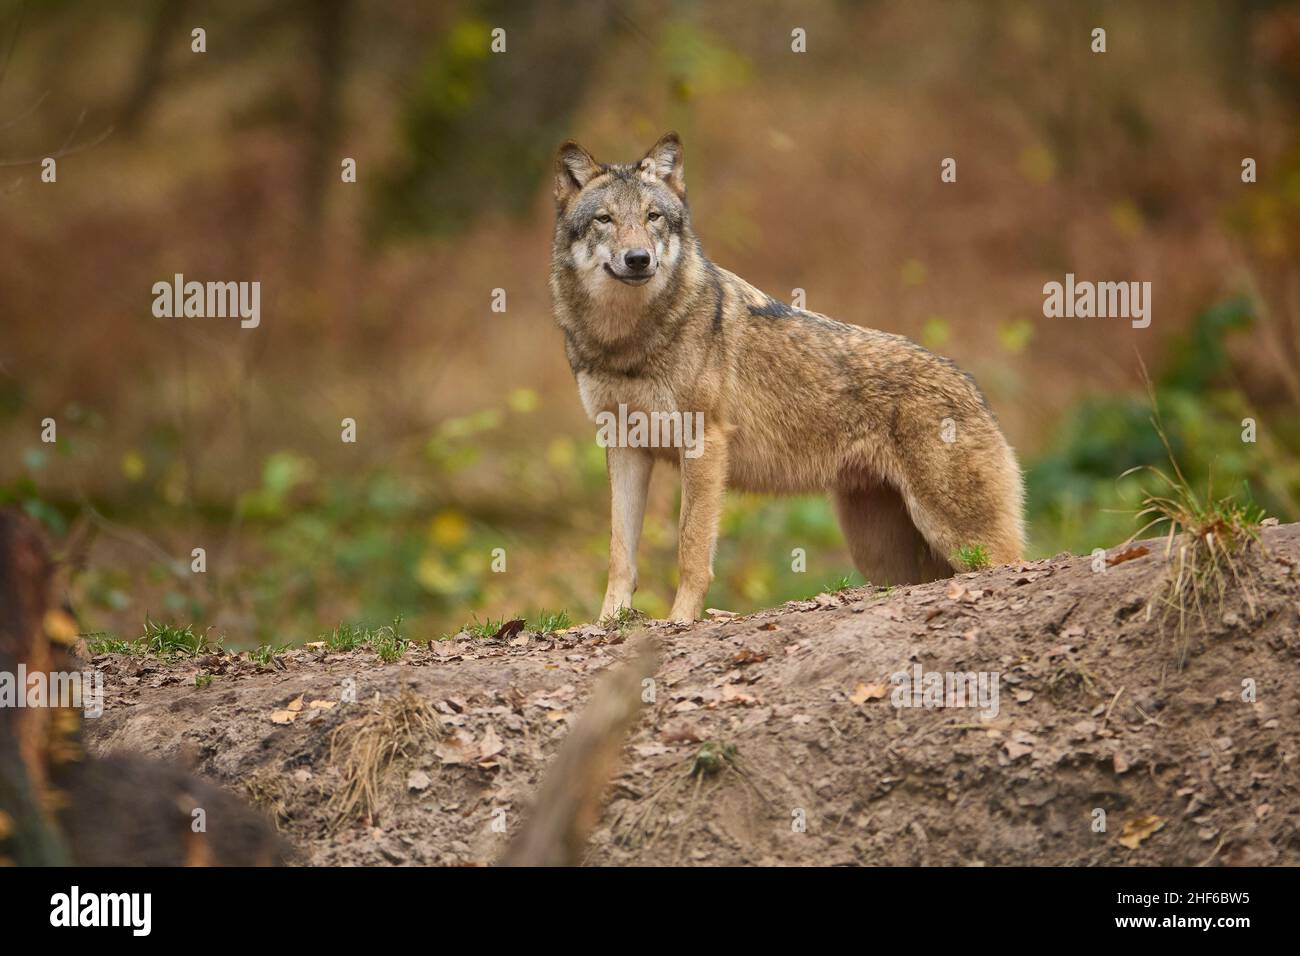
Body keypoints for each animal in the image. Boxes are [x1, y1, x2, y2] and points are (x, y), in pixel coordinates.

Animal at [548, 136, 1024, 629]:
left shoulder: (703, 444)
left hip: (959, 536)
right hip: (881, 554)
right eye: (605, 219)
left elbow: (691, 550)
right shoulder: (624, 444)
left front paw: (680, 621)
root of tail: (974, 389)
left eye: (652, 217)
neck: (626, 342)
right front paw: (608, 622)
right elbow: (620, 554)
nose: (638, 259)